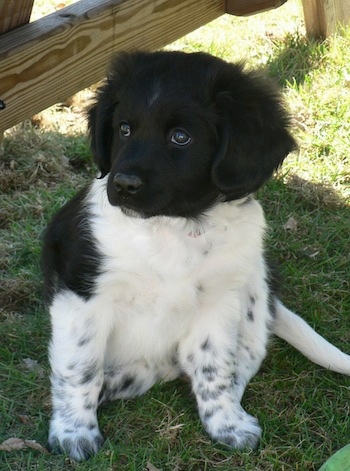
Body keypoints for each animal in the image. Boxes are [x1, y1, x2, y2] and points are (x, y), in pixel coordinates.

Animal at [41, 50, 350, 460]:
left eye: (181, 137)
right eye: (124, 129)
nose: (122, 184)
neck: (173, 228)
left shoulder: (218, 302)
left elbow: (214, 367)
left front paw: (226, 423)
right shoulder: (82, 295)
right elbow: (79, 366)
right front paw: (73, 432)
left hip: (253, 287)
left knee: (239, 360)